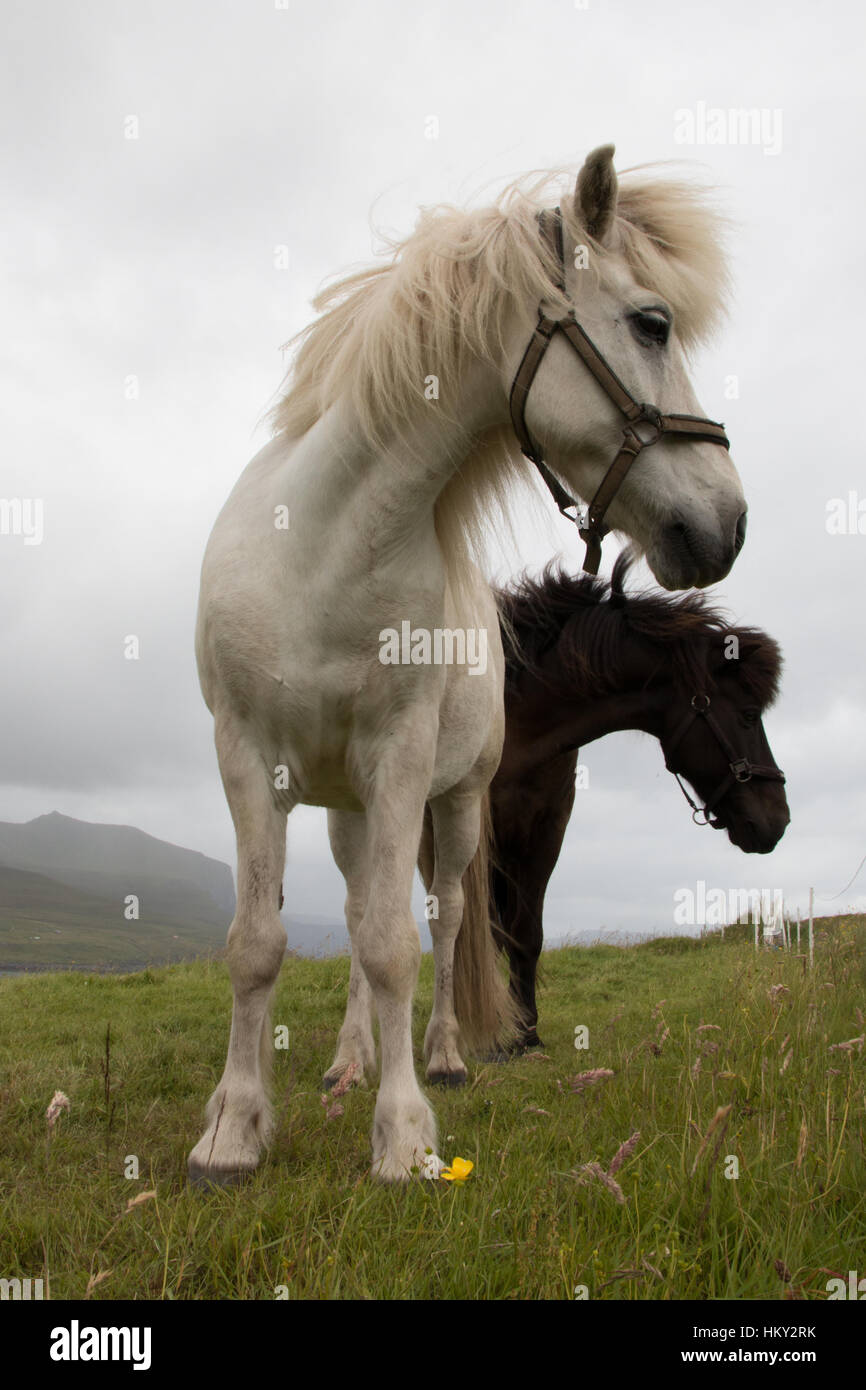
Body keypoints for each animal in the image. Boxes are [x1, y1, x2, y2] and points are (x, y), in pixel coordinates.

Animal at [187, 141, 745, 1184]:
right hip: (349, 810)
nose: (726, 523)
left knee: (442, 921)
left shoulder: (404, 760)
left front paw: (404, 1134)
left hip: (448, 800)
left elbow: (395, 945)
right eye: (652, 323)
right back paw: (348, 1061)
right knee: (360, 909)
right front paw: (234, 1129)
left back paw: (440, 1055)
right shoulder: (247, 758)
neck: (321, 549)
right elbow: (259, 941)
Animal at [492, 547, 789, 1045]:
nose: (779, 820)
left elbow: (523, 935)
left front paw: (524, 1033)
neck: (512, 720)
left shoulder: (545, 830)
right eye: (749, 715)